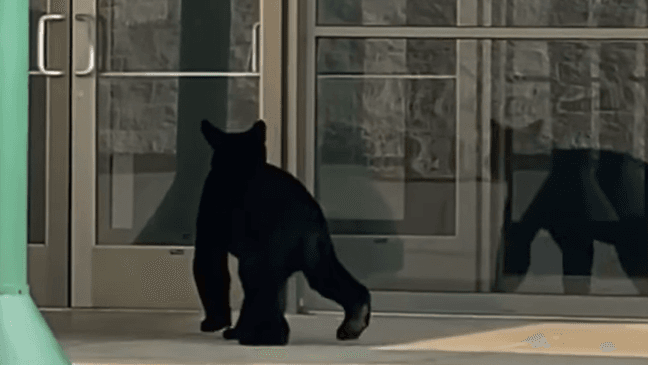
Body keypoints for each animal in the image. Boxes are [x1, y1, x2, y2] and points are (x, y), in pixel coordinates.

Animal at [194, 118, 370, 344]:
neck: (243, 162)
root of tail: (307, 216)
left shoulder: (209, 228)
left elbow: (210, 269)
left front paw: (214, 322)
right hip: (318, 258)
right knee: (333, 283)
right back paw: (354, 323)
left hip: (259, 258)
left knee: (262, 296)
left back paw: (261, 337)